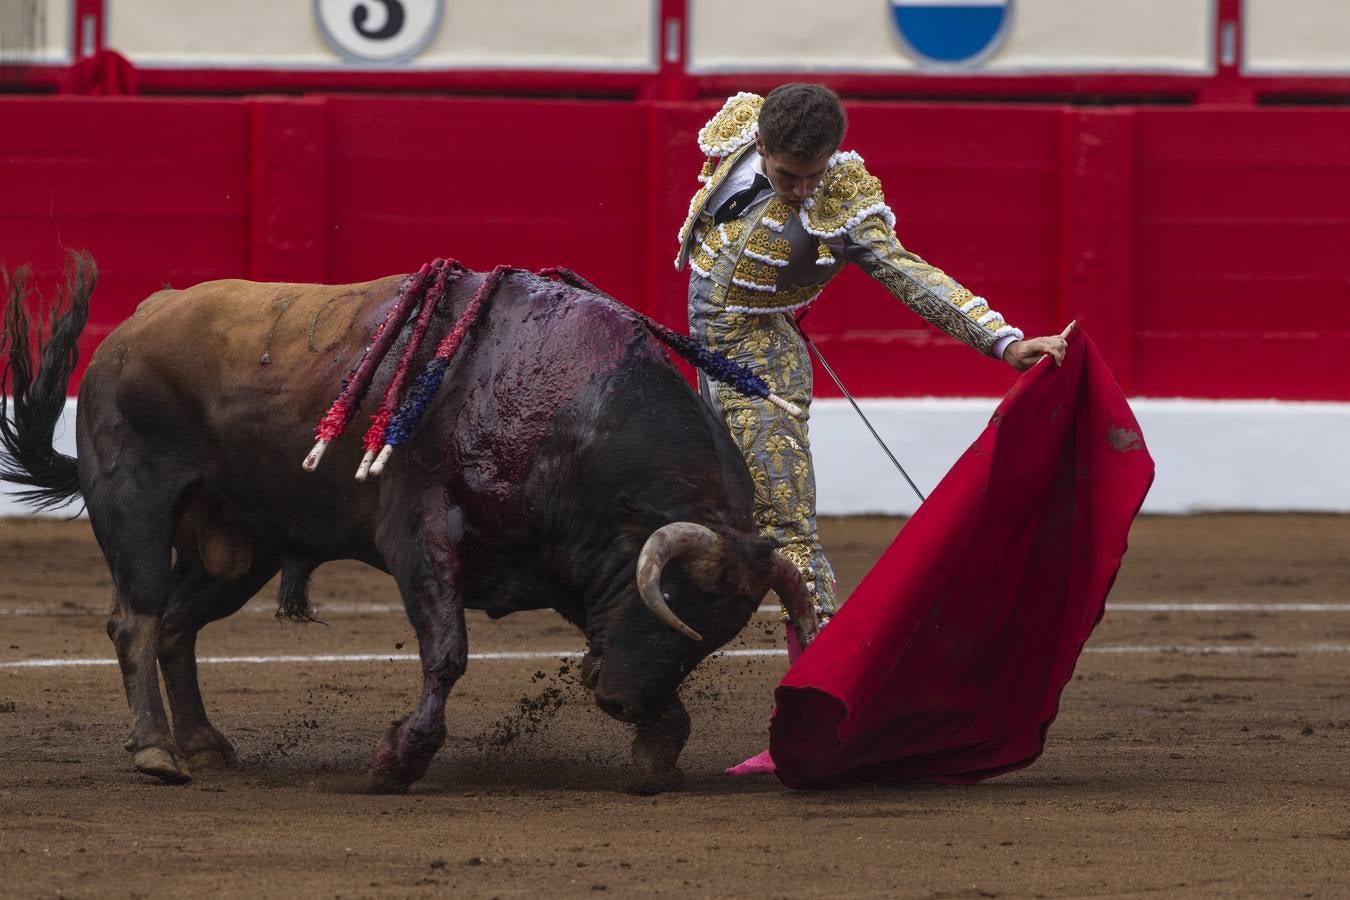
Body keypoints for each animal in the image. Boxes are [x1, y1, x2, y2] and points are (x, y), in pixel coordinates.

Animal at [2, 255, 810, 793]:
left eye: (716, 636)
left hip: (240, 549)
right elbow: (446, 650)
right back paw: (155, 752)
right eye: (672, 600)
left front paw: (657, 746)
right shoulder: (419, 530)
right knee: (135, 621)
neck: (569, 411)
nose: (620, 701)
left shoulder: (569, 571)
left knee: (175, 626)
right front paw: (398, 759)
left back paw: (203, 745)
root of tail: (134, 324)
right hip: (135, 506)